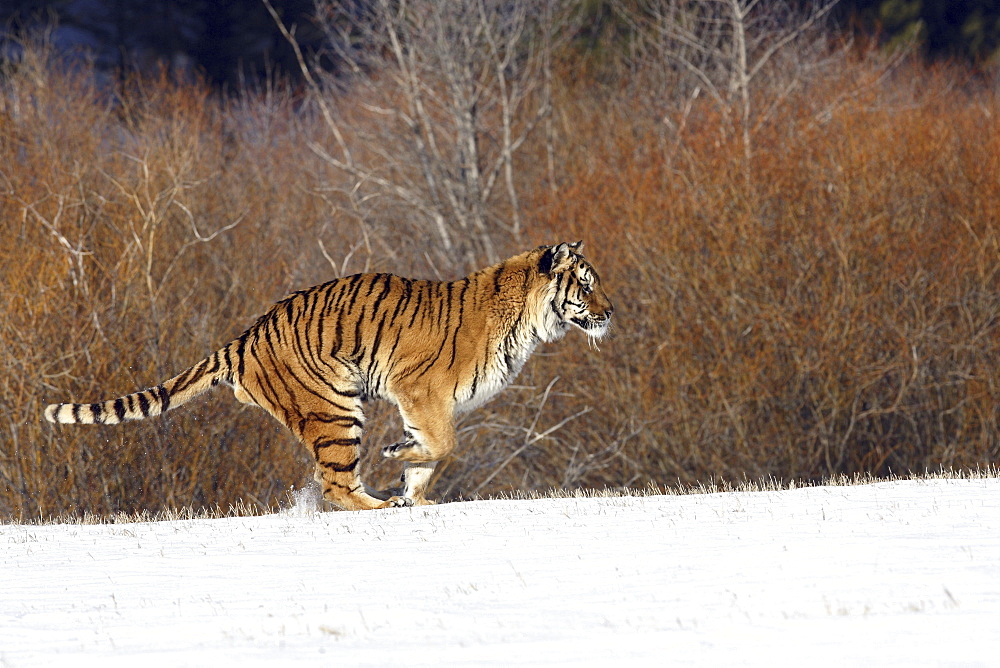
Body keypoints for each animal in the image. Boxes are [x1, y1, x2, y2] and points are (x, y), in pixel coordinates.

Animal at [45, 243, 608, 508]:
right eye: (585, 285)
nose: (613, 312)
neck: (528, 321)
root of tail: (247, 334)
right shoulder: (420, 391)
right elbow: (444, 445)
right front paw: (398, 462)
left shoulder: (424, 404)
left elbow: (432, 456)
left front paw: (415, 495)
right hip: (335, 409)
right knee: (335, 483)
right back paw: (377, 505)